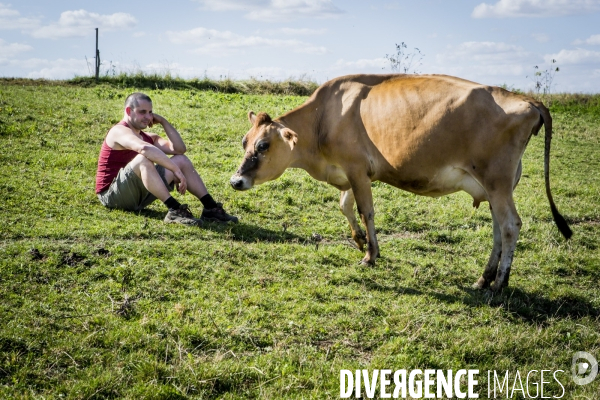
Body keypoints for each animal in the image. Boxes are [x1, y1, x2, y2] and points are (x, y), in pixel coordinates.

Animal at [230, 74, 572, 290]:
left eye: (263, 146)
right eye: (245, 141)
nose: (235, 180)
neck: (323, 119)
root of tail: (527, 100)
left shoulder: (357, 169)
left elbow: (365, 211)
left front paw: (370, 255)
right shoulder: (352, 173)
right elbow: (345, 206)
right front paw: (359, 240)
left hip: (498, 181)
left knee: (511, 225)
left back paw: (500, 282)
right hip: (496, 185)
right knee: (498, 228)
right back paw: (483, 278)